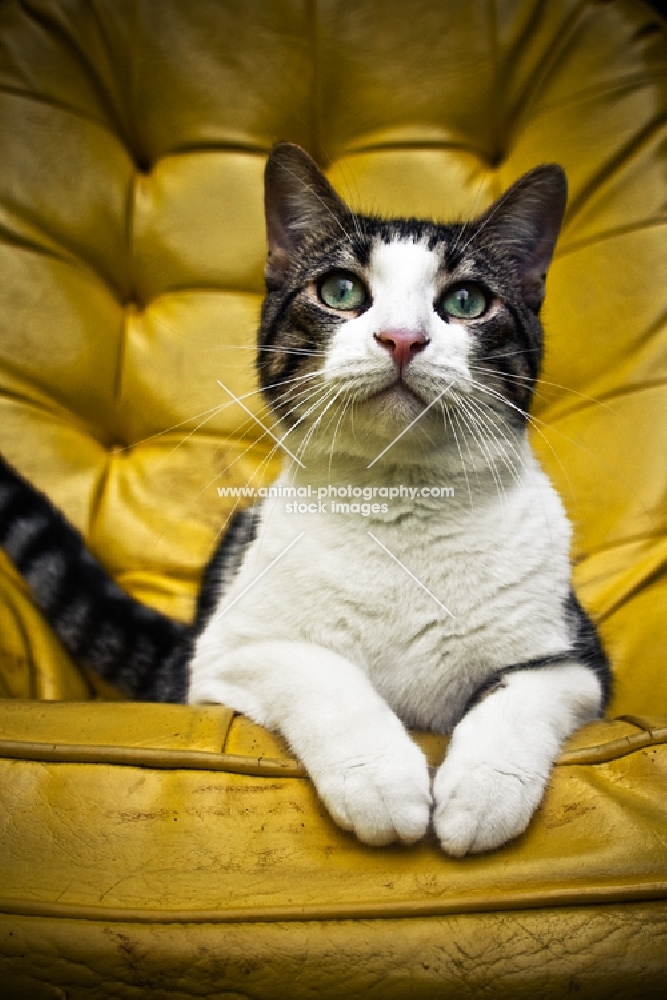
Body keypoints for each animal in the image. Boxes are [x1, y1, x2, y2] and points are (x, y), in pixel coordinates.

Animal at [0, 145, 612, 856]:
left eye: (467, 300)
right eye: (341, 291)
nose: (402, 337)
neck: (398, 500)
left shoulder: (577, 660)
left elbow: (524, 692)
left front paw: (484, 791)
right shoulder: (227, 653)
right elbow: (319, 670)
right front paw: (381, 780)